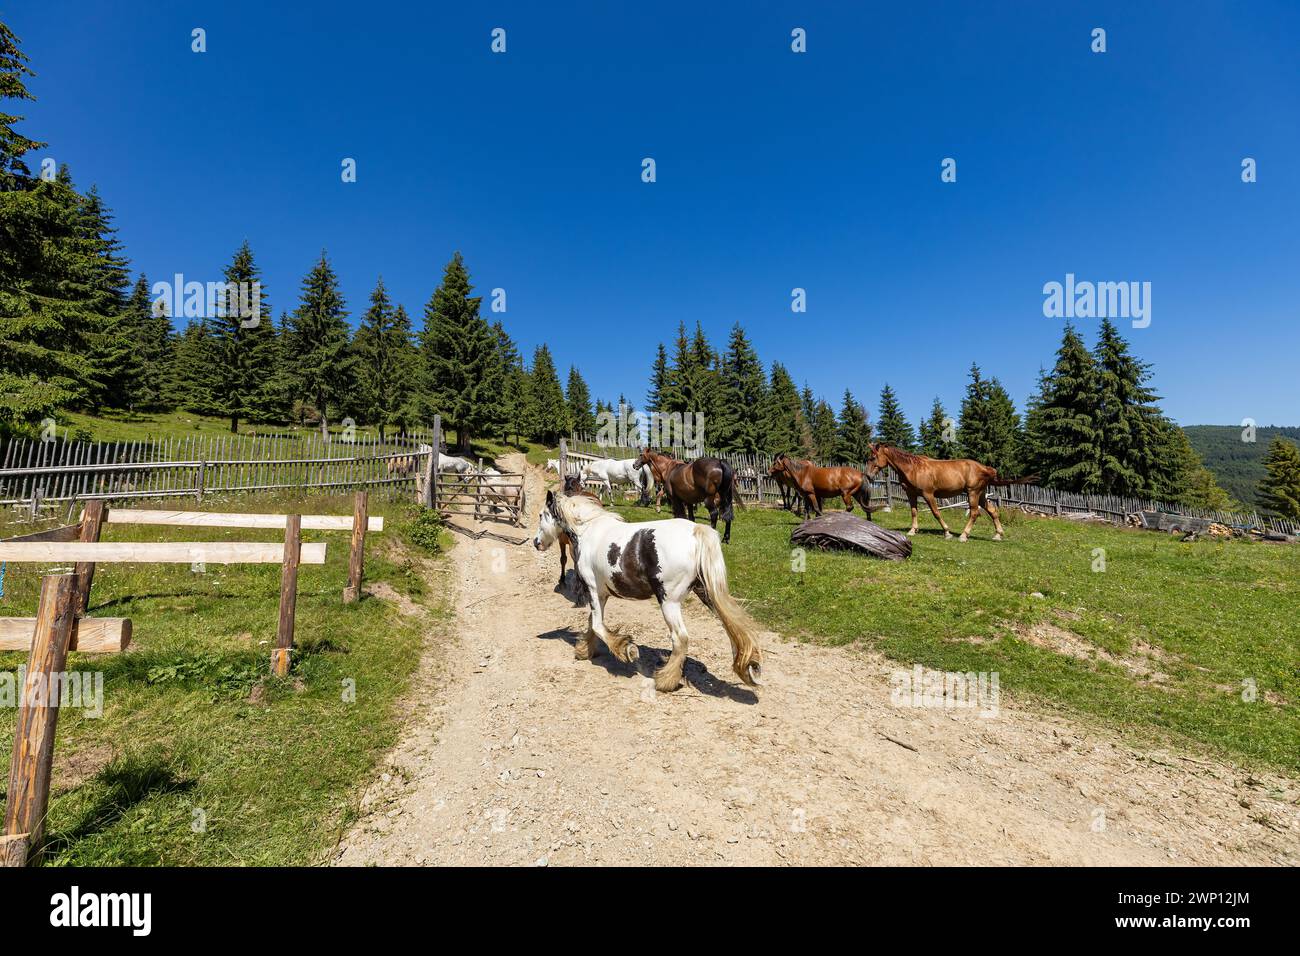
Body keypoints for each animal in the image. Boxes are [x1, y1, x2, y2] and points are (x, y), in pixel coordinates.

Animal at [532, 490, 763, 692]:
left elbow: (598, 625)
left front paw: (626, 650)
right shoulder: (601, 595)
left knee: (681, 638)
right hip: (706, 594)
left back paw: (665, 680)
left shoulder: (594, 591)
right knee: (732, 629)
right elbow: (592, 623)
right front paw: (584, 651)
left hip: (669, 601)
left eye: (541, 515)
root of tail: (696, 532)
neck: (587, 531)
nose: (536, 543)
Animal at [865, 444, 1037, 541]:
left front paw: (947, 533)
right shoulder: (911, 494)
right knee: (993, 511)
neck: (913, 468)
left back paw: (963, 536)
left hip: (972, 494)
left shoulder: (928, 494)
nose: (868, 476)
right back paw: (998, 535)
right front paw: (913, 530)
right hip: (980, 495)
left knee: (974, 513)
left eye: (873, 457)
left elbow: (936, 512)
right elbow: (913, 512)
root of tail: (985, 468)